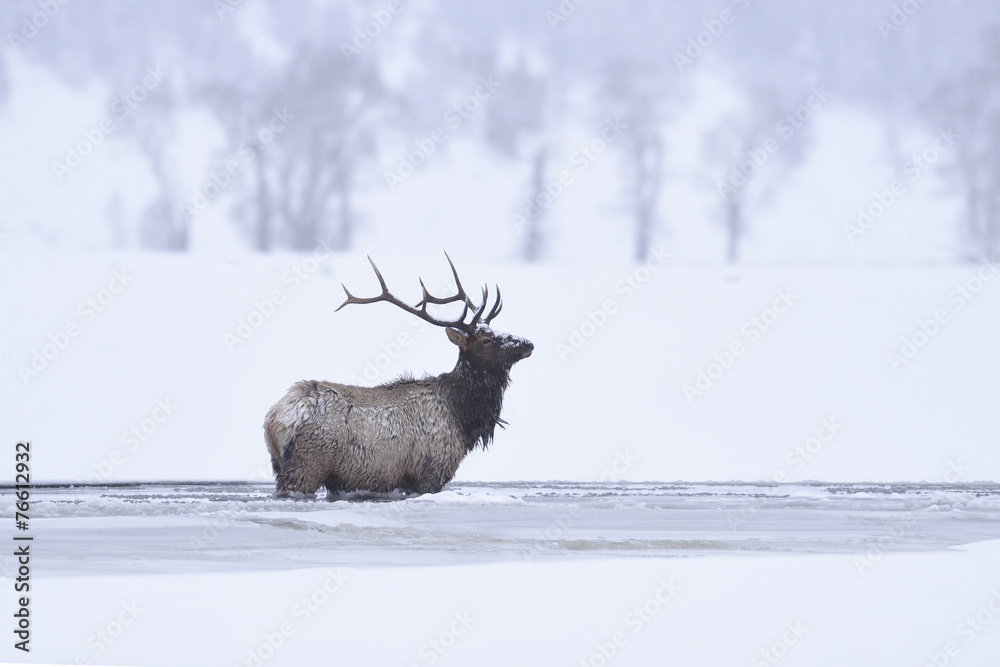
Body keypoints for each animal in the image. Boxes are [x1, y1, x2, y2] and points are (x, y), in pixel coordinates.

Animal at [263, 253, 533, 497]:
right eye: (486, 340)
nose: (528, 343)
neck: (463, 417)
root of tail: (274, 419)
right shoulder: (431, 470)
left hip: (282, 464)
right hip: (307, 464)